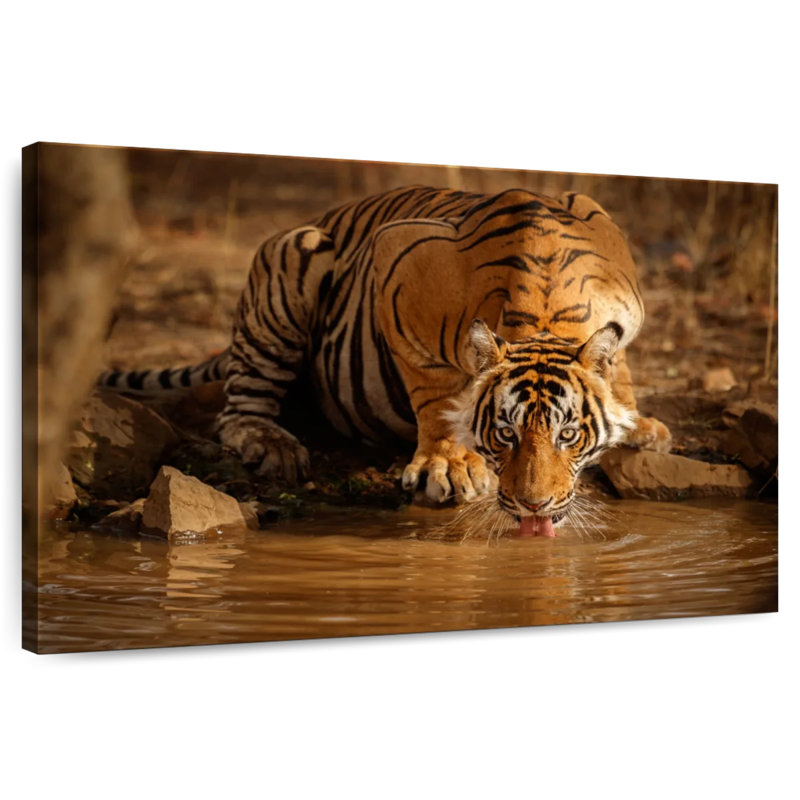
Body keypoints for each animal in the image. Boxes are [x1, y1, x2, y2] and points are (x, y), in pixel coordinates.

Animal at [101, 185, 671, 537]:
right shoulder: (396, 267)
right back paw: (273, 445)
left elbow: (617, 367)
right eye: (505, 435)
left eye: (568, 435)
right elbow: (435, 394)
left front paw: (635, 422)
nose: (534, 507)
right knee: (238, 409)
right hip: (293, 259)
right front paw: (447, 465)